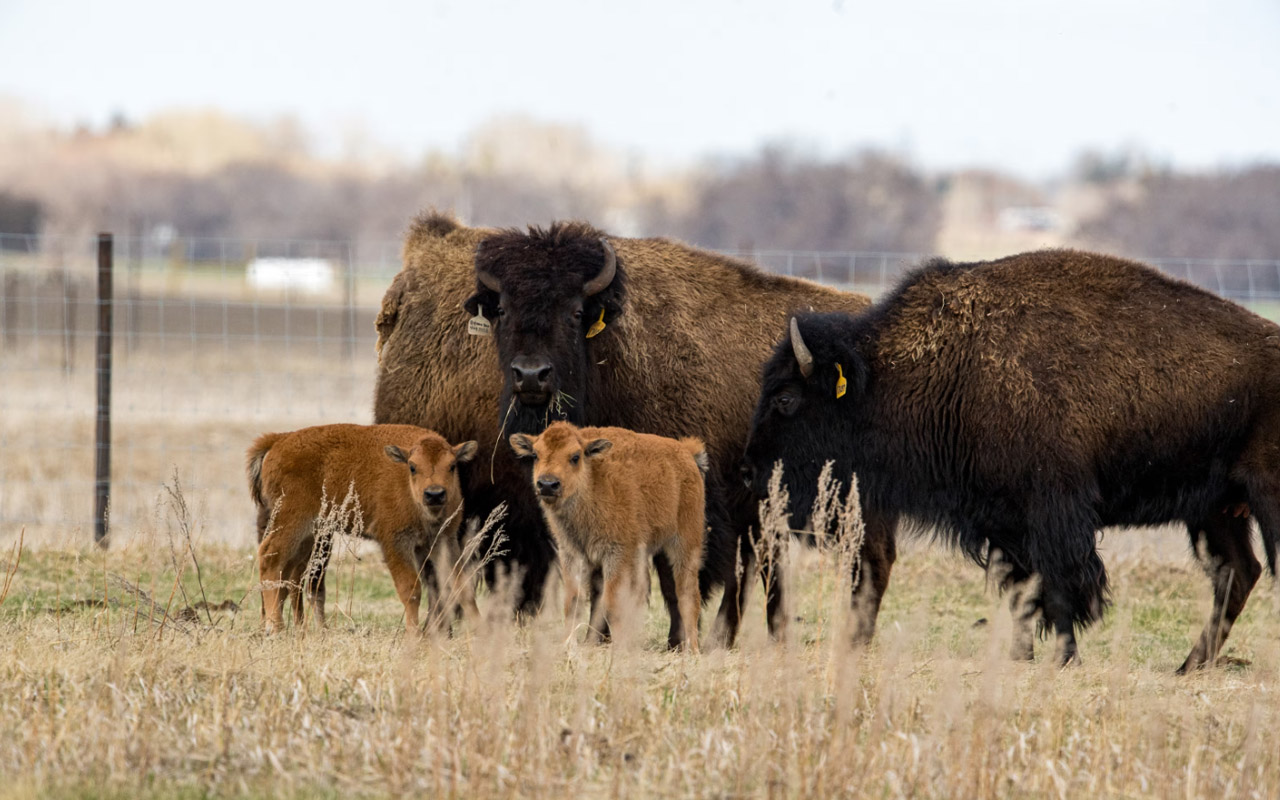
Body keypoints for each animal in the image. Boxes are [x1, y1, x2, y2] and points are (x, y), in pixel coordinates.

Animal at [247, 422, 478, 632]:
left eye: (452, 466)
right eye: (412, 467)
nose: (434, 494)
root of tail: (280, 440)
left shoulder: (444, 540)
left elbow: (463, 586)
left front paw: (480, 631)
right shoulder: (395, 542)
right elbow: (411, 590)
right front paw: (414, 635)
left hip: (308, 535)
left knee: (287, 573)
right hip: (292, 522)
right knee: (270, 557)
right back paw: (275, 627)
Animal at [506, 422, 711, 652]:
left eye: (575, 457)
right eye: (535, 455)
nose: (548, 484)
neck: (592, 482)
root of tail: (687, 454)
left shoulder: (616, 555)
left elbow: (612, 603)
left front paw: (618, 649)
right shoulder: (572, 554)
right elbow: (573, 601)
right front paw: (568, 644)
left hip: (685, 544)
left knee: (688, 596)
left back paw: (692, 650)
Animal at [742, 249, 1280, 665]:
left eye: (786, 398)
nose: (750, 469)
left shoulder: (1052, 513)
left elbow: (1059, 589)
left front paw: (1063, 659)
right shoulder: (1002, 522)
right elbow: (1019, 591)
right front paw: (1021, 657)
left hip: (1260, 497)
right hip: (1215, 511)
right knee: (1238, 573)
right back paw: (1190, 666)